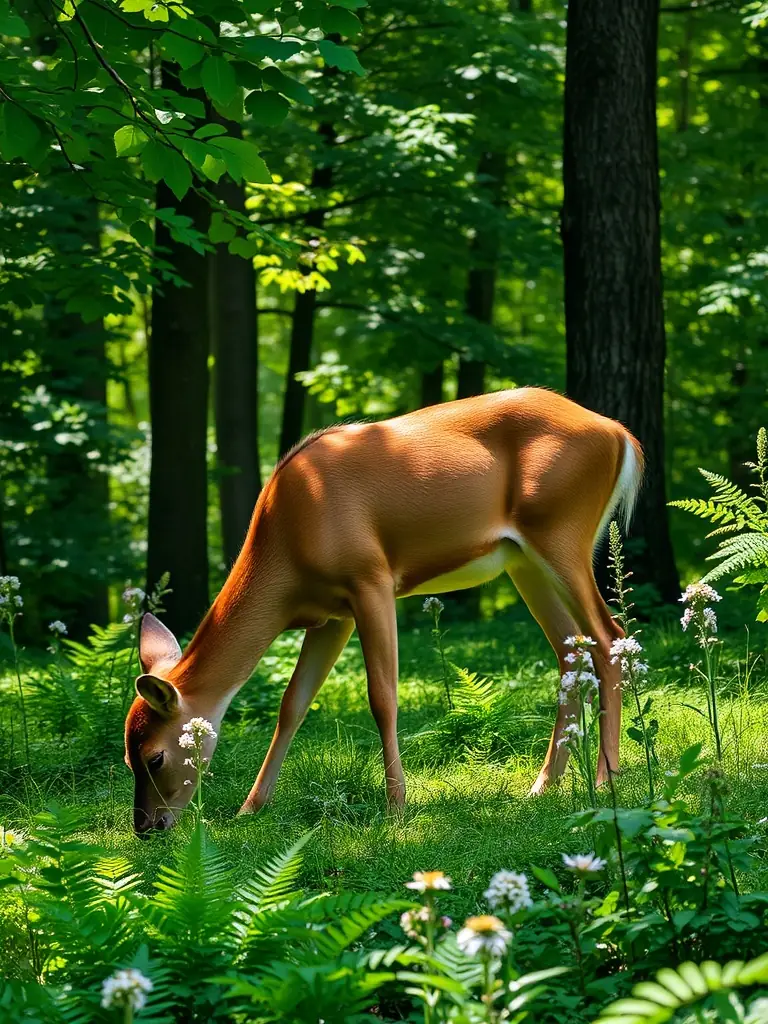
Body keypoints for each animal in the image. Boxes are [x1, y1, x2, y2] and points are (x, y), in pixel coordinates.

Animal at [125, 387, 643, 834]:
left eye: (154, 757)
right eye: (127, 758)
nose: (147, 827)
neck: (289, 550)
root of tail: (621, 435)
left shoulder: (370, 579)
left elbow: (382, 697)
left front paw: (397, 807)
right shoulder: (332, 614)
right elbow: (293, 704)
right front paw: (250, 808)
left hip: (562, 531)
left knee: (609, 635)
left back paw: (606, 779)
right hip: (524, 560)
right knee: (571, 652)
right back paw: (541, 787)